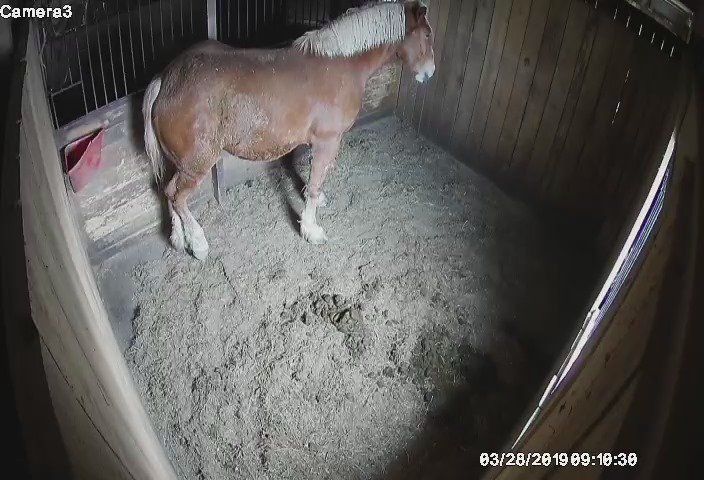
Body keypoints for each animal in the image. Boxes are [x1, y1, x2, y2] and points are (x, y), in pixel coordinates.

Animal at [142, 1, 435, 260]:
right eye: (427, 34)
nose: (429, 72)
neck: (340, 65)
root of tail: (166, 80)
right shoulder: (328, 141)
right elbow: (315, 183)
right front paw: (311, 229)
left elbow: (313, 175)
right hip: (196, 165)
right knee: (177, 197)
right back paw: (198, 242)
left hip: (180, 164)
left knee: (167, 191)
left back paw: (178, 238)